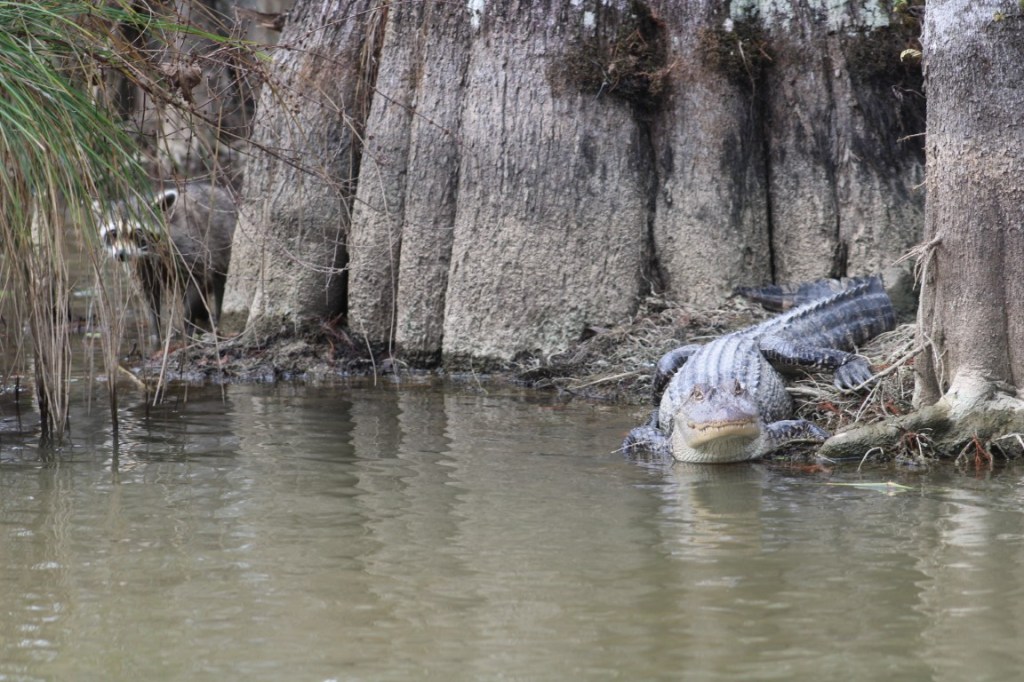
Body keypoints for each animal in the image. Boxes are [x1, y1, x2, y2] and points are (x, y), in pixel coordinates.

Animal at [98, 182, 237, 339]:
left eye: (137, 233)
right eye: (113, 234)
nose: (120, 254)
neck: (149, 253)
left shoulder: (189, 246)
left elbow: (195, 280)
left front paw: (187, 322)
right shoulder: (140, 265)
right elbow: (149, 295)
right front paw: (155, 330)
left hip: (224, 242)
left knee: (219, 280)